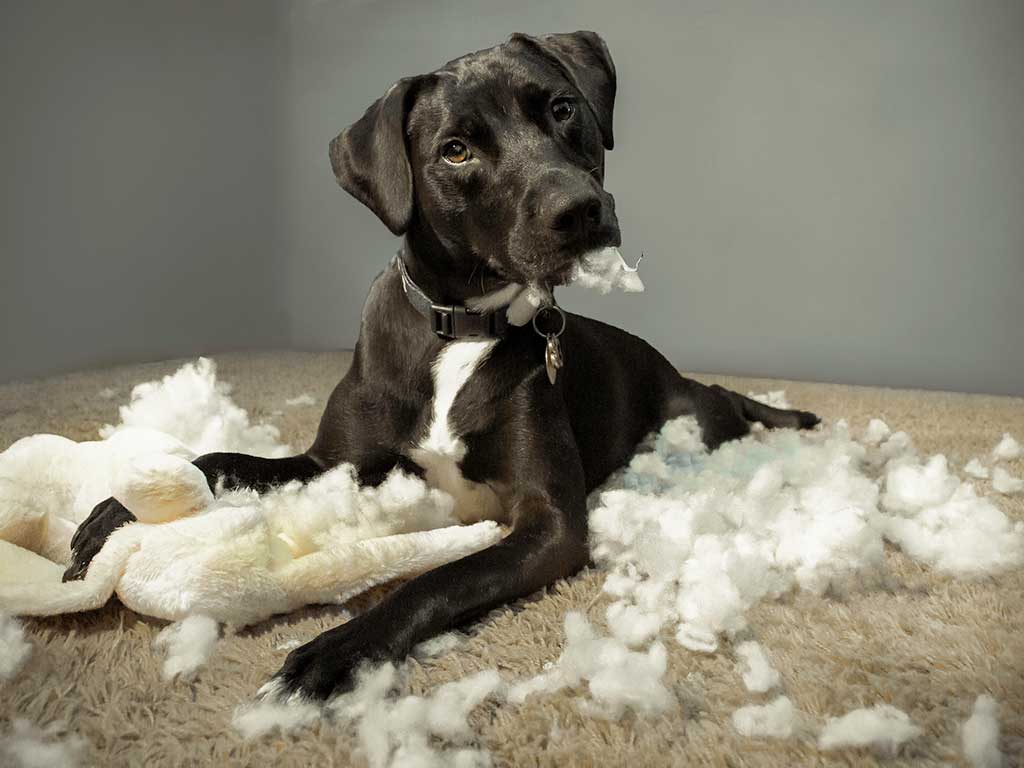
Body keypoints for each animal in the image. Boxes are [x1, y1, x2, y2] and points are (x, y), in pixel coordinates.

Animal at [64, 31, 819, 704]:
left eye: (562, 109)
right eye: (455, 150)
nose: (580, 210)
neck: (463, 325)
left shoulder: (549, 522)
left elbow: (437, 580)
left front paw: (336, 650)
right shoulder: (333, 462)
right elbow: (227, 458)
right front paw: (121, 509)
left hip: (693, 416)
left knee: (725, 401)